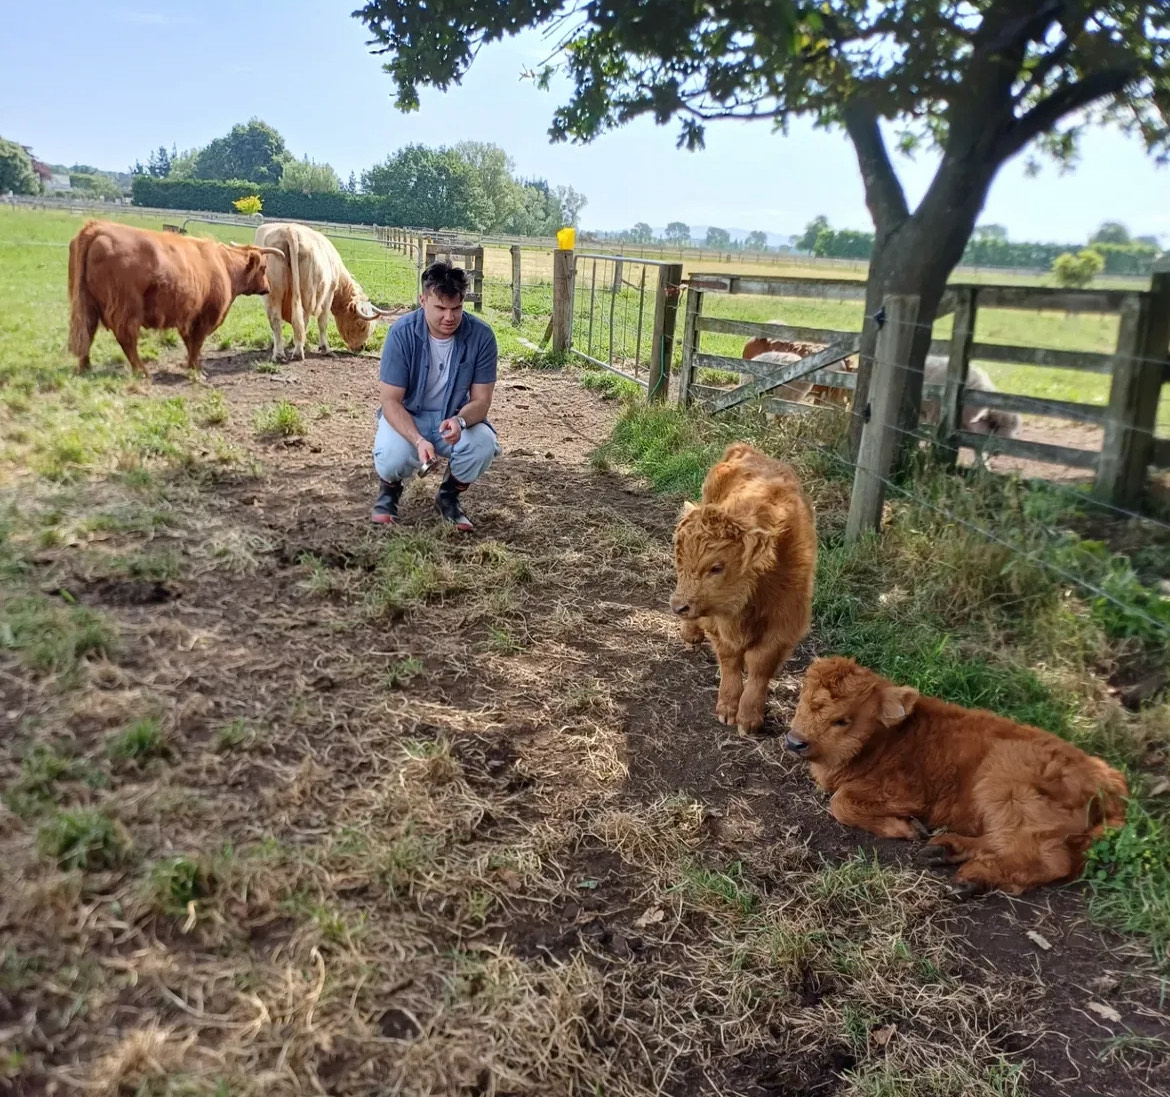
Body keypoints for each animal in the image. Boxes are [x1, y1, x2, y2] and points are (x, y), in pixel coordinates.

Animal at [68, 219, 279, 380]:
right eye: (264, 268)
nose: (267, 287)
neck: (224, 266)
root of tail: (99, 227)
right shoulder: (206, 316)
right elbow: (197, 343)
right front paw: (197, 371)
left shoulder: (188, 316)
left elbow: (190, 343)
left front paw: (194, 367)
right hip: (127, 308)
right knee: (126, 337)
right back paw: (142, 372)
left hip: (87, 303)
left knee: (87, 331)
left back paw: (85, 368)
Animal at [253, 222, 399, 361]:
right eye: (360, 325)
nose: (361, 347)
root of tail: (289, 230)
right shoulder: (329, 293)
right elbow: (322, 322)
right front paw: (323, 348)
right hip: (307, 293)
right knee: (302, 318)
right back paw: (299, 351)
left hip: (273, 293)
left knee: (277, 320)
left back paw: (279, 354)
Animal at [670, 442, 817, 734]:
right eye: (680, 559)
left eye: (716, 567)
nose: (678, 605)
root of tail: (745, 450)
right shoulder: (716, 619)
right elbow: (729, 659)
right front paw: (727, 708)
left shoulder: (784, 624)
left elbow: (760, 666)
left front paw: (749, 717)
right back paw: (691, 634)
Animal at [785, 656, 1128, 896]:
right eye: (801, 700)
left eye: (842, 720)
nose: (794, 741)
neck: (890, 738)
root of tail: (1109, 781)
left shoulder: (905, 792)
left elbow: (841, 802)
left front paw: (906, 827)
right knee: (1005, 842)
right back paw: (943, 850)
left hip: (1002, 785)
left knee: (1045, 860)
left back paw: (970, 880)